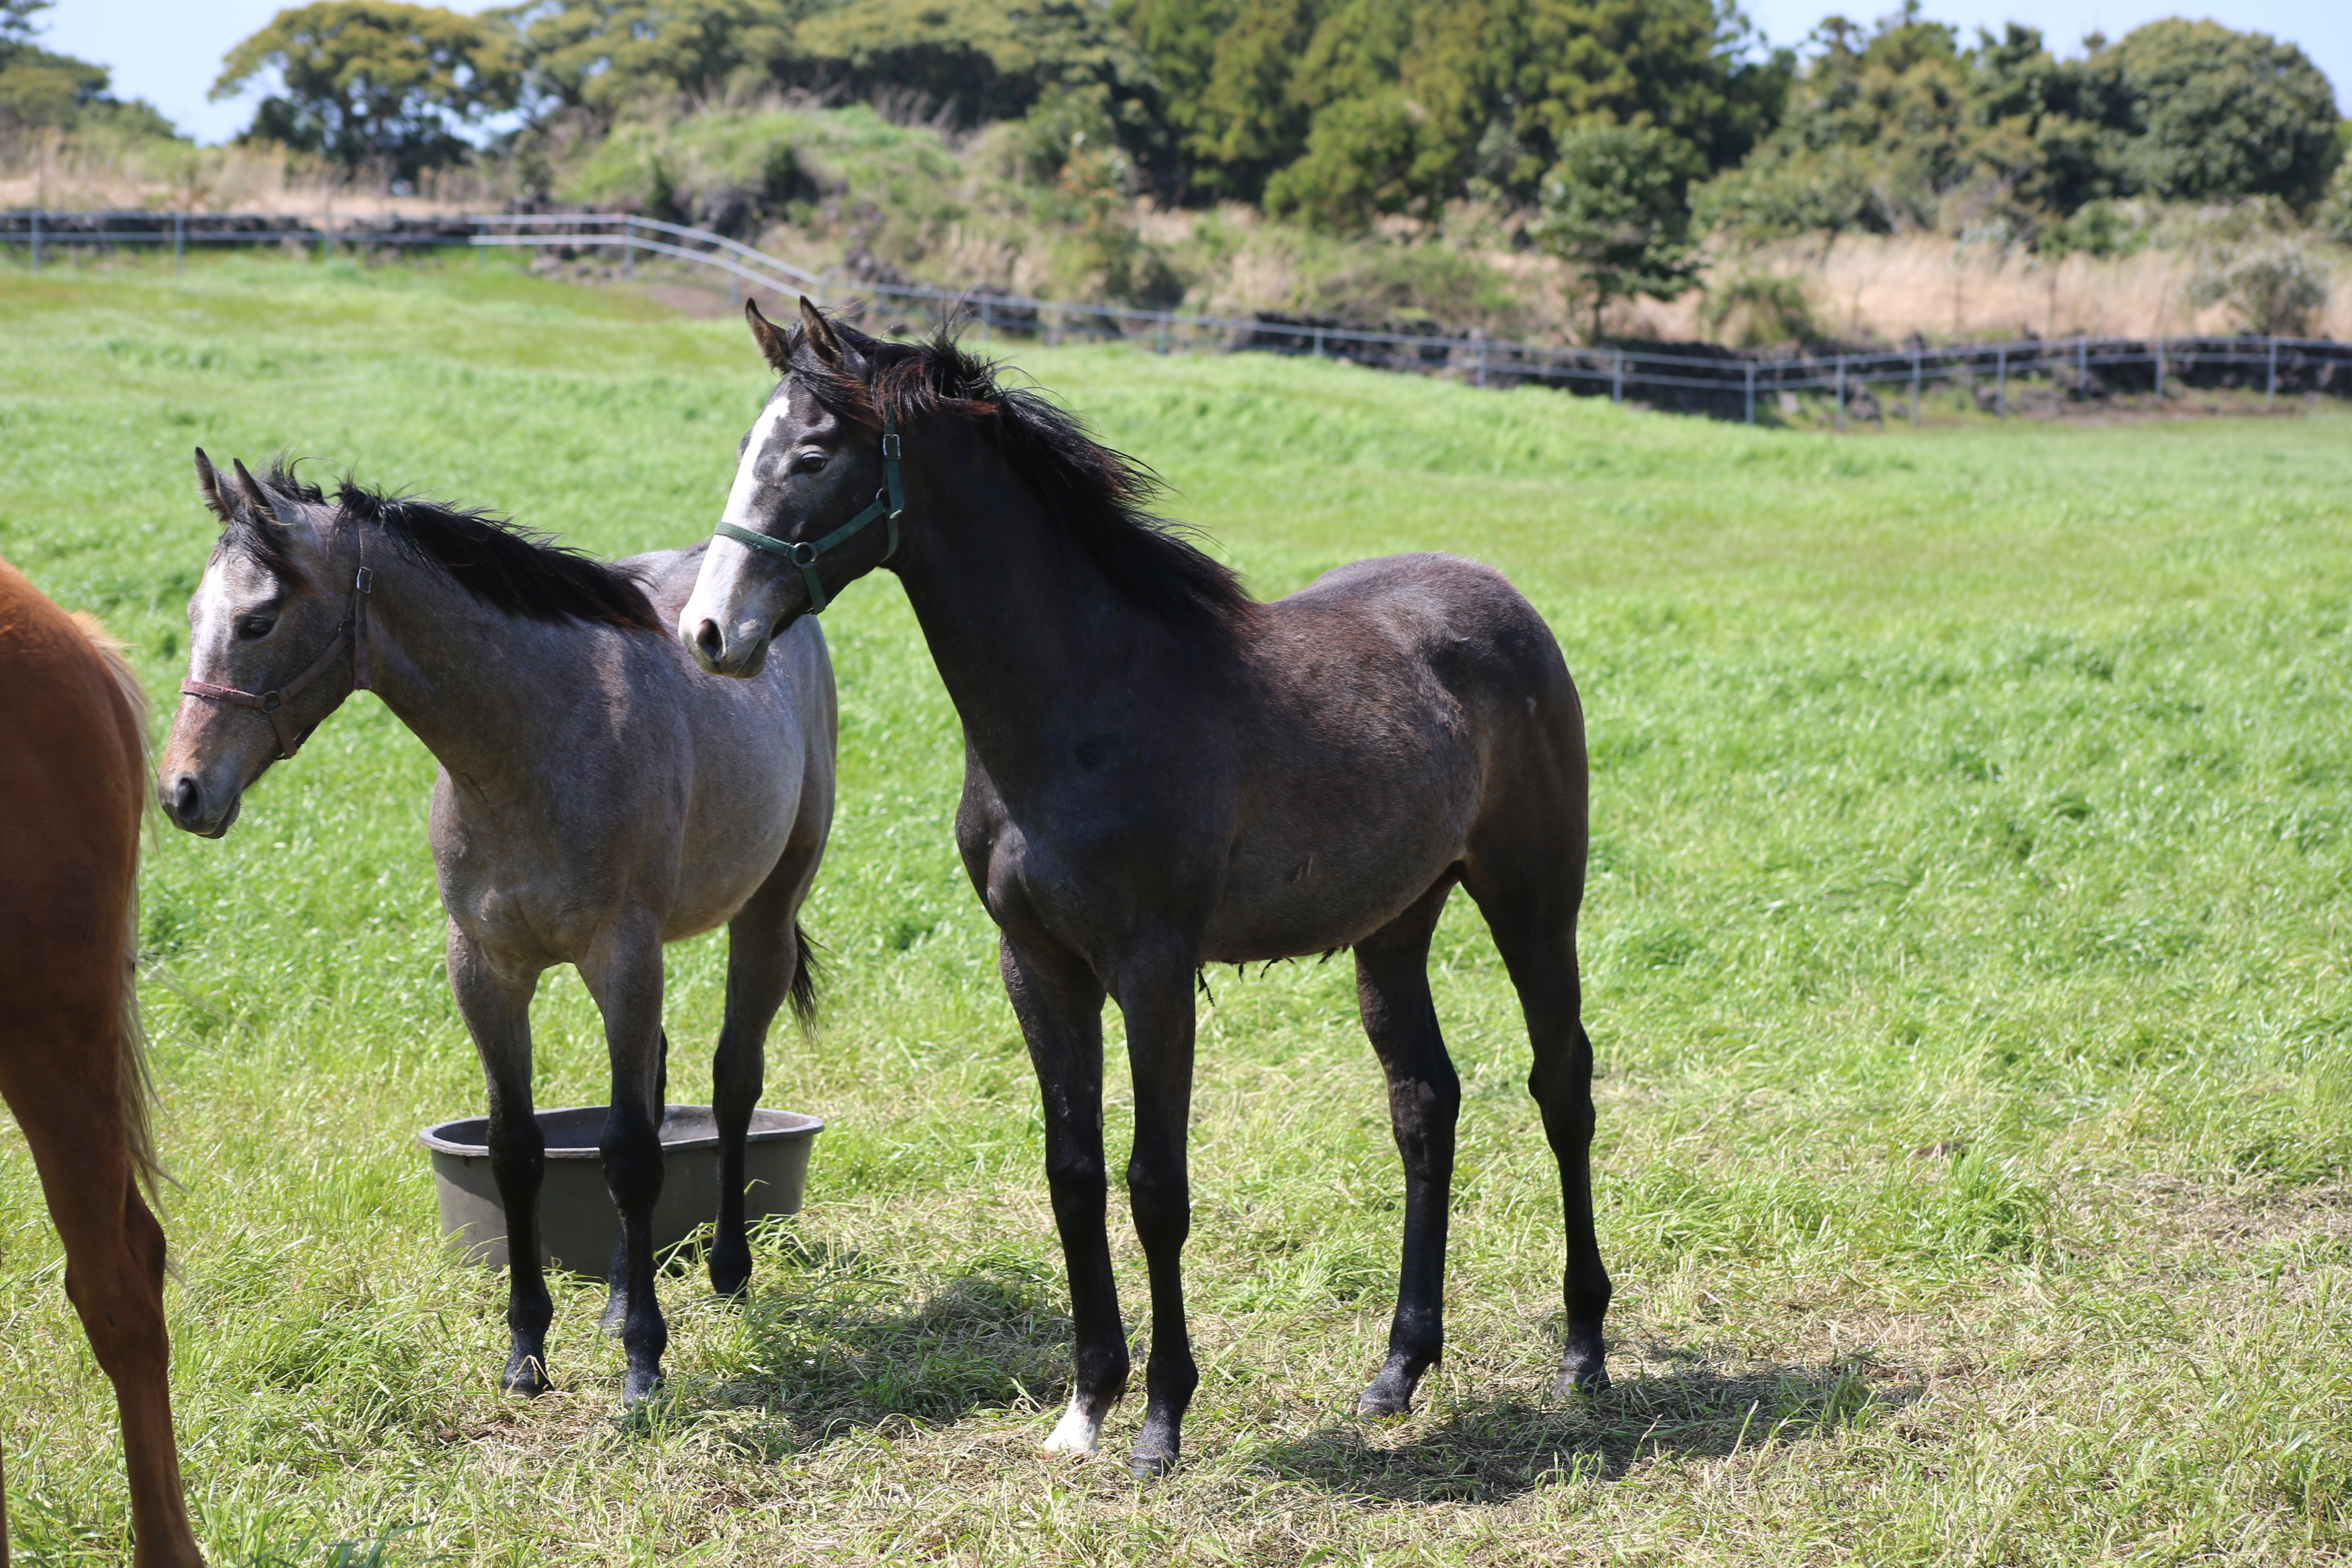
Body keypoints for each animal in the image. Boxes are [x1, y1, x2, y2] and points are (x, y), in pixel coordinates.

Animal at [156, 446, 842, 1401]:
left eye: (257, 621)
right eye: (193, 615)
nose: (182, 792)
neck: (530, 742)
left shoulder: (621, 957)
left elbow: (632, 1154)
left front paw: (643, 1362)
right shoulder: (485, 970)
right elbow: (520, 1150)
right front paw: (528, 1350)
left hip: (765, 916)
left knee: (733, 1081)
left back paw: (729, 1269)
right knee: (657, 1084)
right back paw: (619, 1296)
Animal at [673, 301, 1608, 1476]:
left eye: (810, 454)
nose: (709, 635)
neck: (1085, 702)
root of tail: (1508, 602)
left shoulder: (1154, 971)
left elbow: (1156, 1186)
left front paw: (1162, 1419)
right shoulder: (1039, 968)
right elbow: (1072, 1173)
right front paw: (1087, 1406)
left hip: (1533, 899)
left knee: (1562, 1088)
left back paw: (1584, 1352)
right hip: (1395, 924)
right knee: (1424, 1105)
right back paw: (1399, 1371)